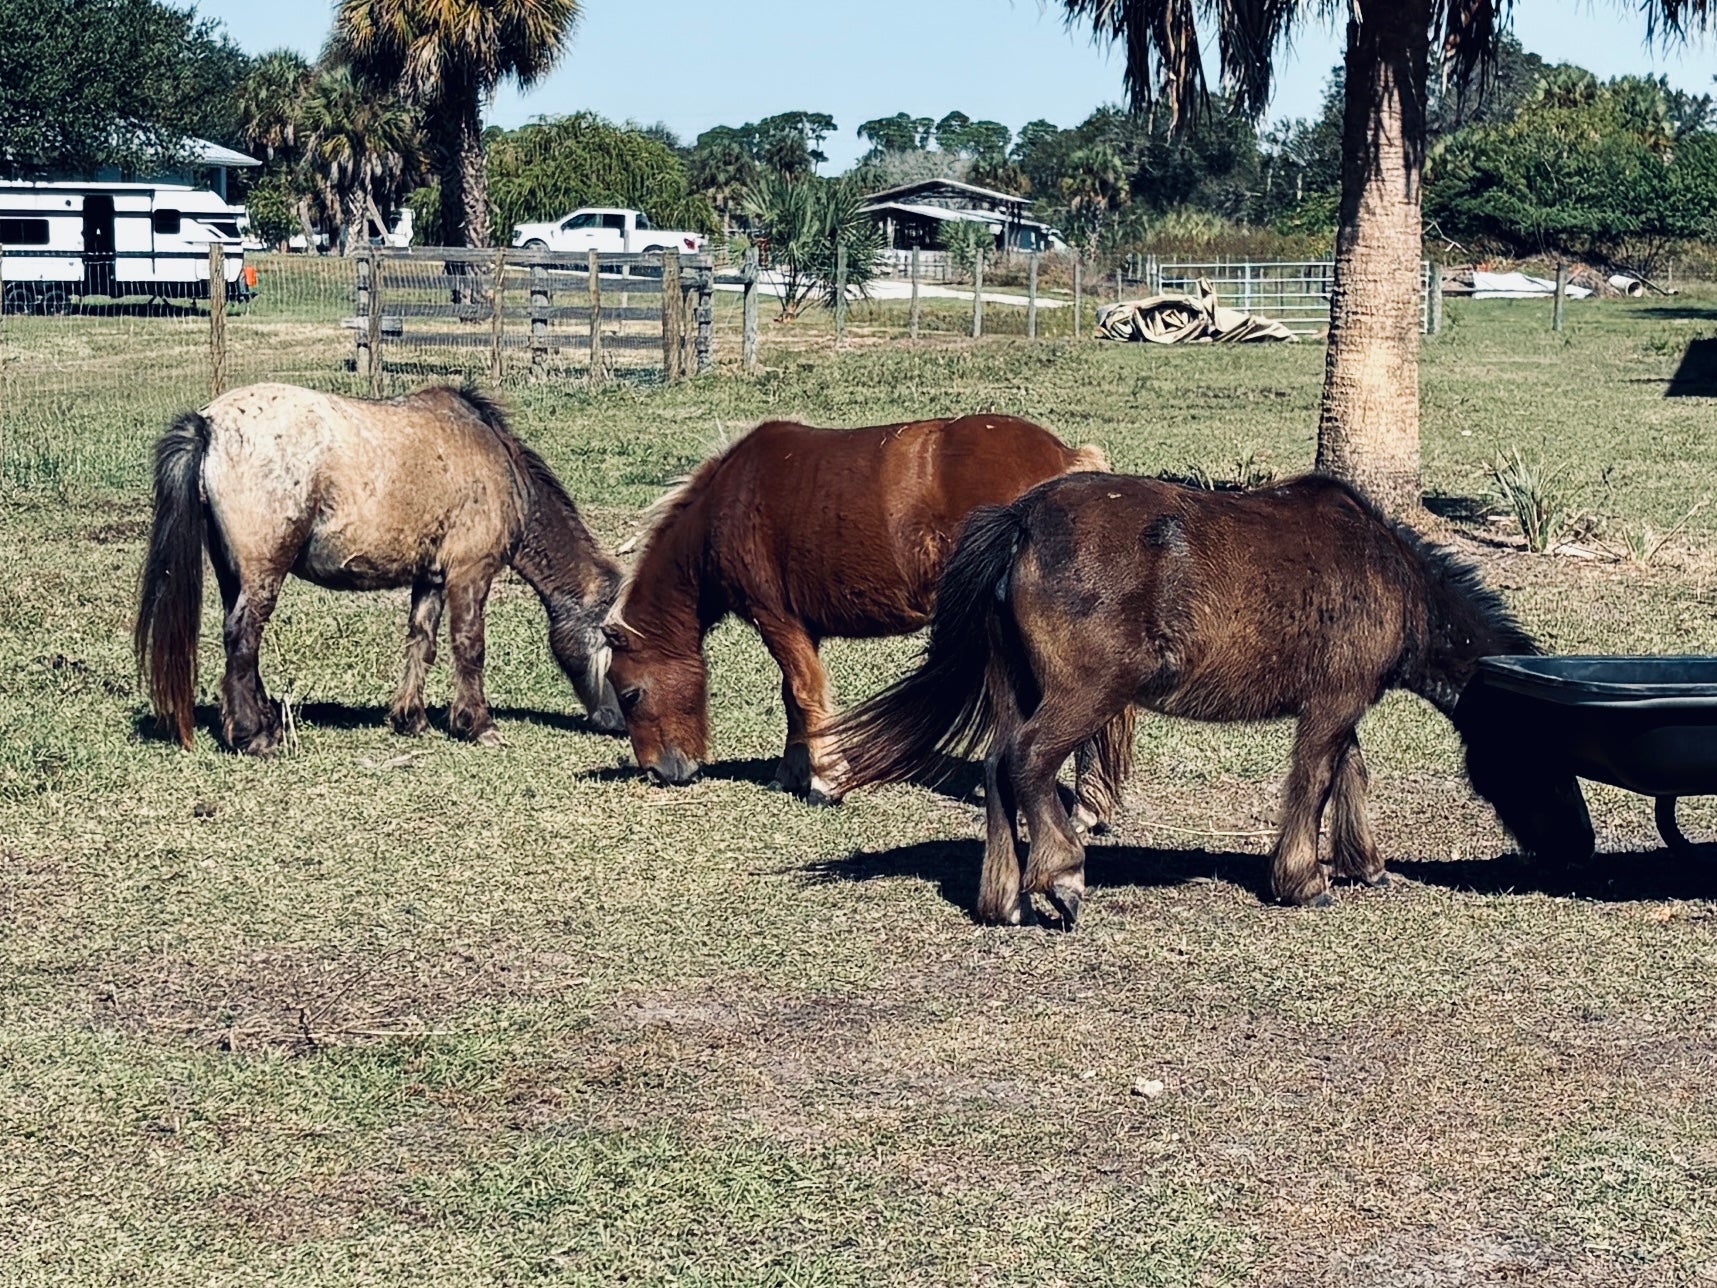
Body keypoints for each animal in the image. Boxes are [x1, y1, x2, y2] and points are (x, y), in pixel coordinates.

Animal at [135, 382, 625, 754]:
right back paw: (254, 736)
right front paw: (478, 725)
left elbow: (422, 642)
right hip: (263, 572)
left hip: (232, 572)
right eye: (616, 641)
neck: (497, 464)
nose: (620, 721)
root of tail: (210, 424)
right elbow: (470, 646)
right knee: (242, 637)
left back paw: (265, 721)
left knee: (240, 642)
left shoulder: (430, 579)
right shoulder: (471, 572)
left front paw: (411, 718)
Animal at [603, 414, 1134, 813]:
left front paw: (825, 783)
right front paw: (790, 773)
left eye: (629, 695)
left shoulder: (774, 617)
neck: (728, 501)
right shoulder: (802, 627)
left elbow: (806, 693)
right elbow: (795, 698)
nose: (659, 772)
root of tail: (1067, 460)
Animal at [831, 471, 1596, 928]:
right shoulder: (1334, 701)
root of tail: (1023, 519)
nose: (1578, 850)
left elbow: (1347, 773)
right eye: (1552, 763)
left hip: (1020, 687)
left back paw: (1002, 899)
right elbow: (1316, 778)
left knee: (996, 767)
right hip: (1086, 695)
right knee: (1026, 763)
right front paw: (1301, 881)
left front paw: (1365, 865)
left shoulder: (1337, 702)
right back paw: (1061, 877)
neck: (1394, 577)